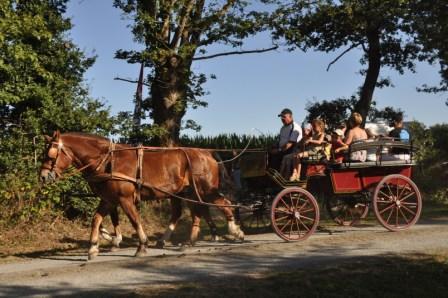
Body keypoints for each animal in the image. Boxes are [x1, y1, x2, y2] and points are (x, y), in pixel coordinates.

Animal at [41, 130, 245, 258]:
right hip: (187, 192)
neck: (108, 161)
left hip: (204, 190)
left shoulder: (124, 199)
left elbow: (134, 220)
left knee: (224, 204)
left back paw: (235, 231)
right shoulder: (109, 199)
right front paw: (93, 248)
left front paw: (141, 246)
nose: (43, 176)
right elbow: (96, 220)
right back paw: (186, 240)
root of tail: (207, 153)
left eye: (50, 155)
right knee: (191, 213)